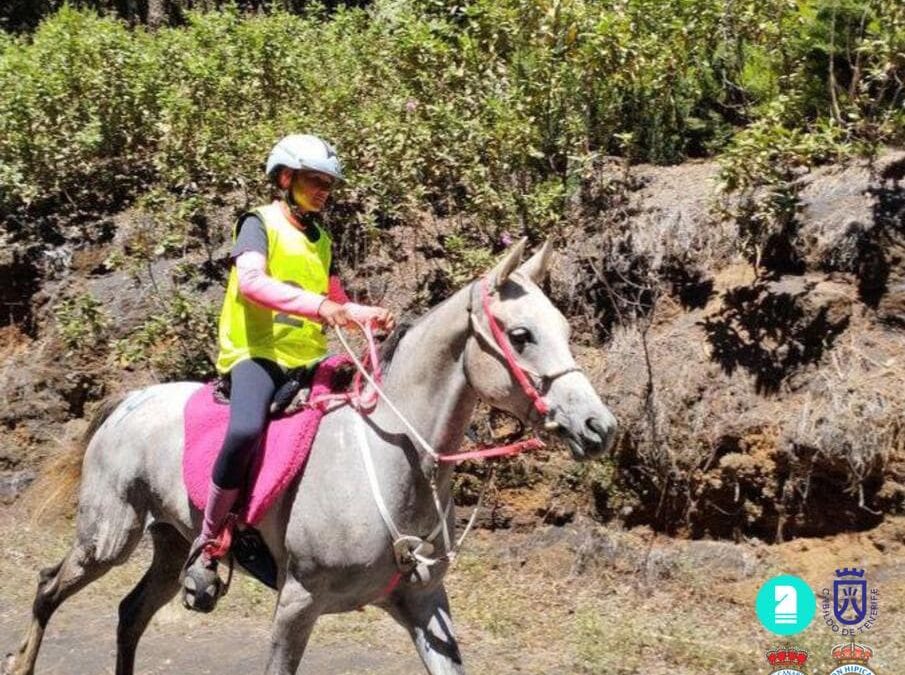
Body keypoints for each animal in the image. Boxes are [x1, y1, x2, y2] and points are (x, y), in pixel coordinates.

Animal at [1, 239, 616, 675]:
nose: (599, 427)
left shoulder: (424, 603)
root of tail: (129, 400)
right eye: (522, 334)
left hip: (172, 543)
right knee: (48, 586)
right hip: (106, 539)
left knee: (130, 614)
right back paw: (23, 659)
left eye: (564, 329)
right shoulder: (297, 603)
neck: (389, 462)